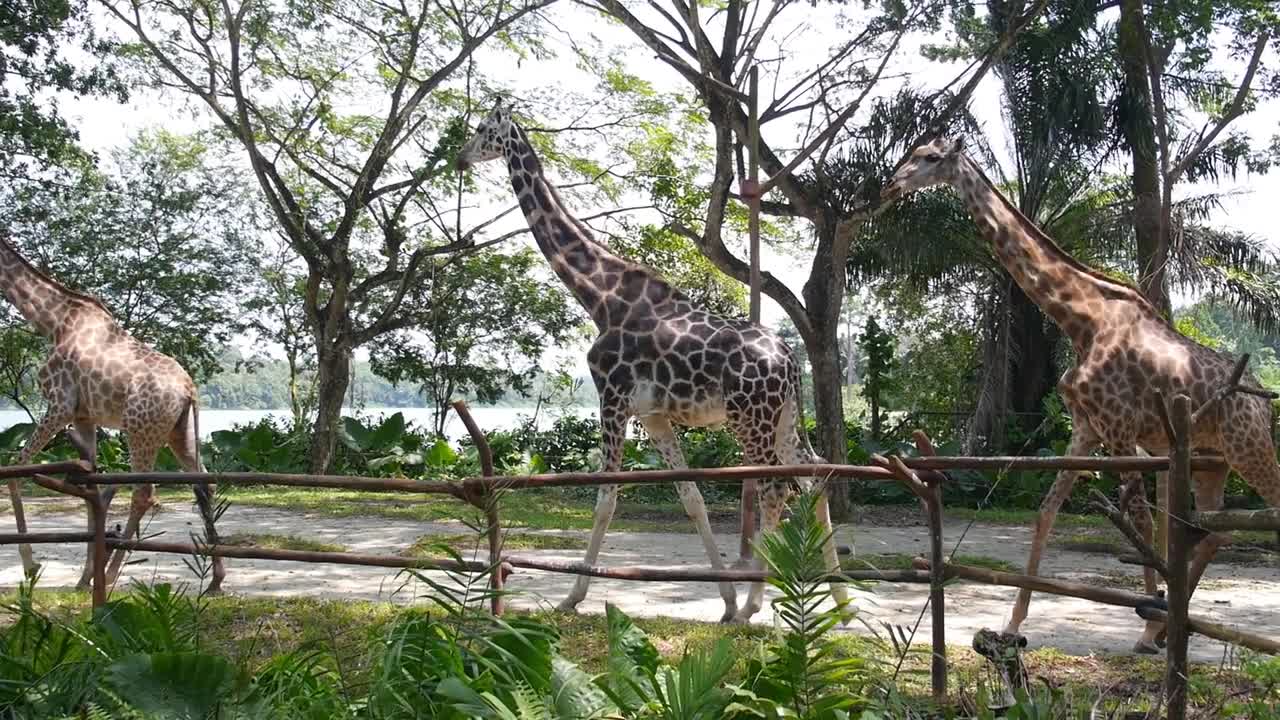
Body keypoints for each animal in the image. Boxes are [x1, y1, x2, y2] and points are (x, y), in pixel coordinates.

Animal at [0, 233, 225, 591]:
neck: (54, 321)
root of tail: (189, 389)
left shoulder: (59, 404)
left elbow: (14, 469)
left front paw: (32, 566)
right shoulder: (84, 416)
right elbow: (88, 487)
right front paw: (83, 579)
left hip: (140, 429)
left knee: (144, 492)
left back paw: (111, 574)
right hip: (180, 432)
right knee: (204, 484)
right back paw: (215, 579)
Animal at [460, 98, 849, 620]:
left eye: (483, 129)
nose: (460, 157)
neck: (601, 299)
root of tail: (788, 358)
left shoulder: (612, 399)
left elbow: (606, 497)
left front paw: (572, 596)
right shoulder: (654, 415)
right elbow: (692, 497)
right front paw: (725, 598)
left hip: (751, 418)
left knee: (775, 489)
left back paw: (757, 604)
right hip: (783, 415)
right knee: (816, 472)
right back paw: (838, 598)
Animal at [880, 137, 1280, 653]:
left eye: (930, 157)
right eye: (912, 150)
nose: (891, 184)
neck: (1080, 322)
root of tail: (1260, 399)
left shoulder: (1120, 428)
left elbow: (1141, 521)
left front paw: (1146, 628)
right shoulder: (1086, 429)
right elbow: (1046, 513)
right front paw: (1013, 625)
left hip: (1247, 446)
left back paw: (1163, 623)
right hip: (1213, 461)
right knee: (1213, 529)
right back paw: (1171, 619)